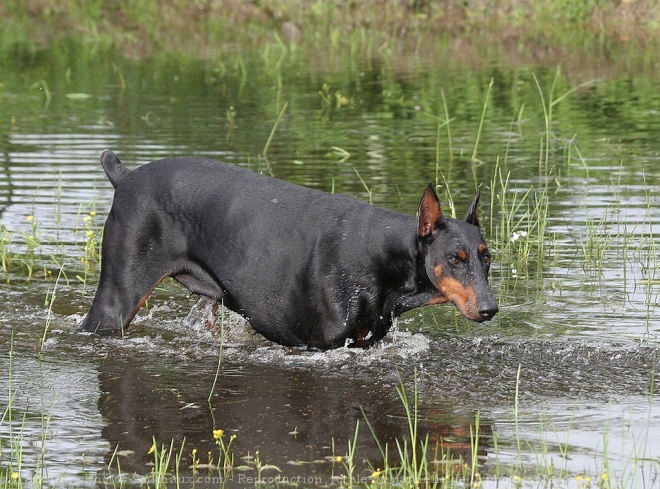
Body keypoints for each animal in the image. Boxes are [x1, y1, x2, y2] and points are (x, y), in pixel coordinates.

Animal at [81, 151, 496, 348]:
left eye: (486, 257)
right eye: (454, 259)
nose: (491, 309)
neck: (384, 259)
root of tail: (125, 176)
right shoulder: (320, 347)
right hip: (115, 303)